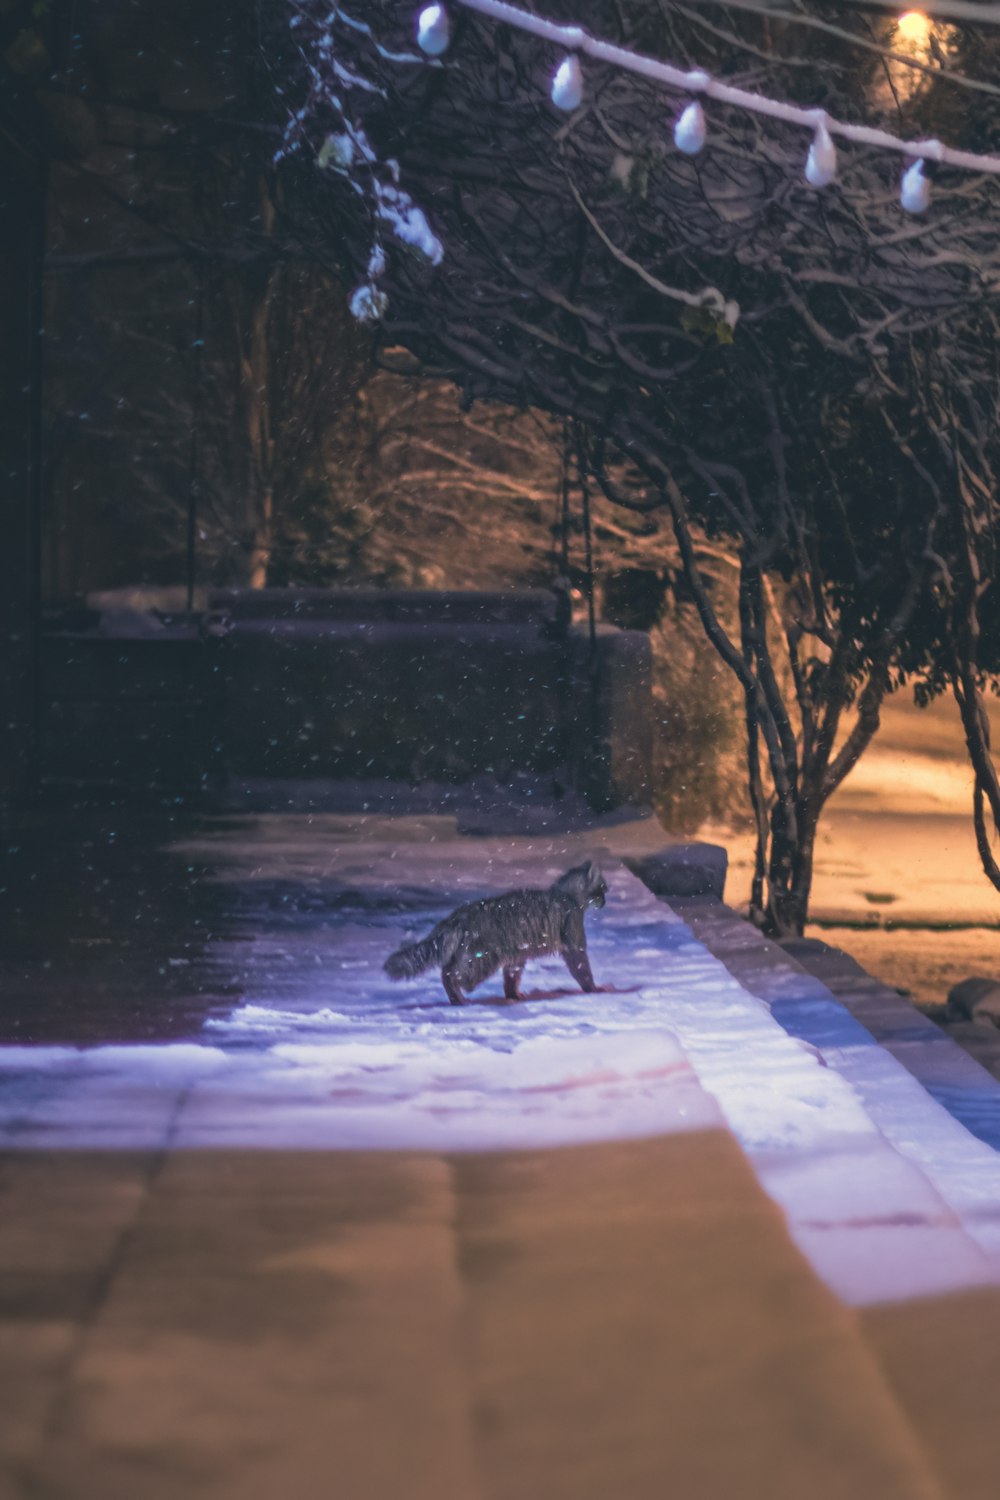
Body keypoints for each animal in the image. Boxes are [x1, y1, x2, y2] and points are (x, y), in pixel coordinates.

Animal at [386, 864, 605, 1002]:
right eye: (603, 888)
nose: (604, 901)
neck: (566, 894)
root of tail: (461, 914)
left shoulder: (517, 954)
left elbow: (512, 977)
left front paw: (512, 994)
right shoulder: (573, 938)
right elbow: (581, 966)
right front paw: (592, 988)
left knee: (448, 968)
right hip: (483, 957)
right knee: (452, 974)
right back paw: (458, 995)